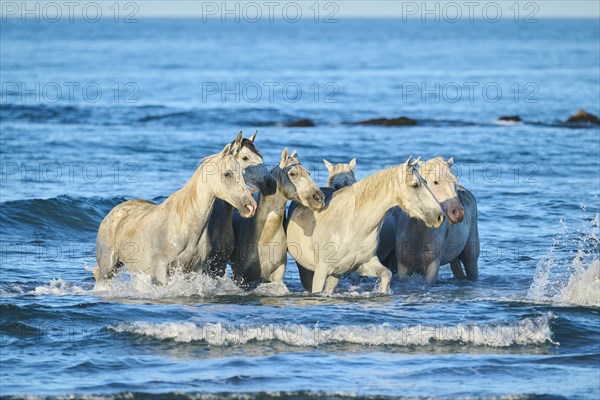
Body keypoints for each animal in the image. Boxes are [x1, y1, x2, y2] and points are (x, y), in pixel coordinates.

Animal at [95, 138, 258, 284]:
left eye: (242, 173)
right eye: (227, 174)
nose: (250, 207)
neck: (184, 226)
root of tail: (112, 213)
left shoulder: (194, 269)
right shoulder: (161, 269)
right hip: (108, 266)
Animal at [229, 148, 324, 286]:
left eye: (309, 173)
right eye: (292, 173)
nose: (319, 198)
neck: (265, 238)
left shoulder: (277, 274)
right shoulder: (240, 276)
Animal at [284, 159, 442, 294]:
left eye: (426, 181)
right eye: (415, 185)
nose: (439, 216)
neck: (351, 226)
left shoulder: (364, 264)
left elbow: (387, 274)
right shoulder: (321, 271)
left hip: (335, 275)